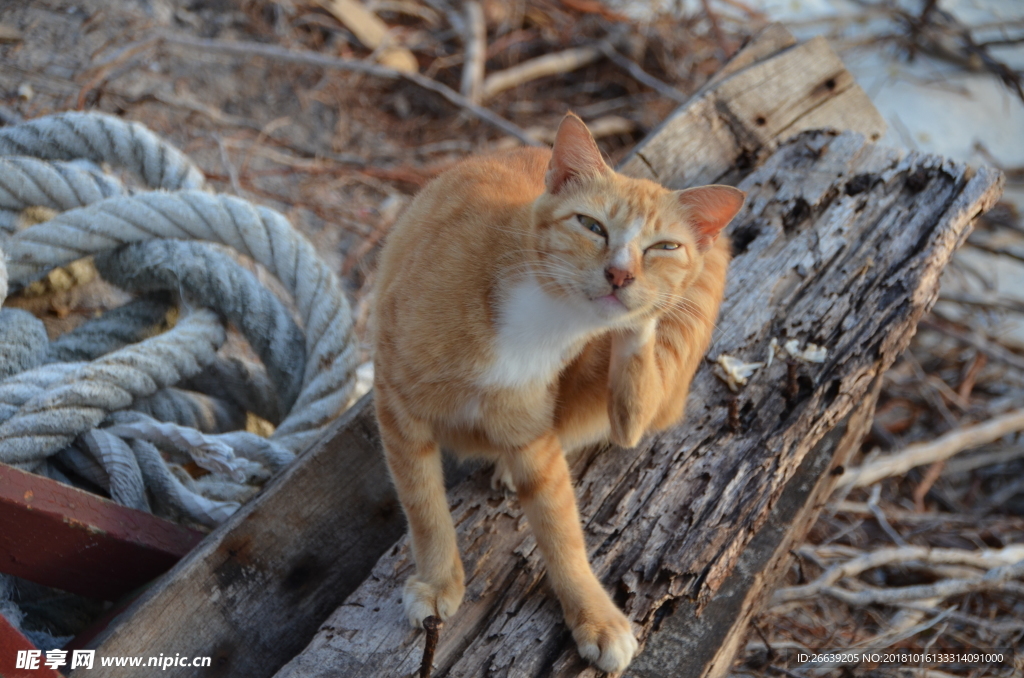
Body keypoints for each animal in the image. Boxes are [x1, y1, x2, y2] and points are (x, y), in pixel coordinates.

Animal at [372, 112, 741, 675]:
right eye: (591, 225)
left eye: (663, 247)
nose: (620, 273)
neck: (544, 318)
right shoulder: (397, 405)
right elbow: (424, 504)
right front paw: (438, 581)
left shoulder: (533, 441)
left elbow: (562, 530)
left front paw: (594, 614)